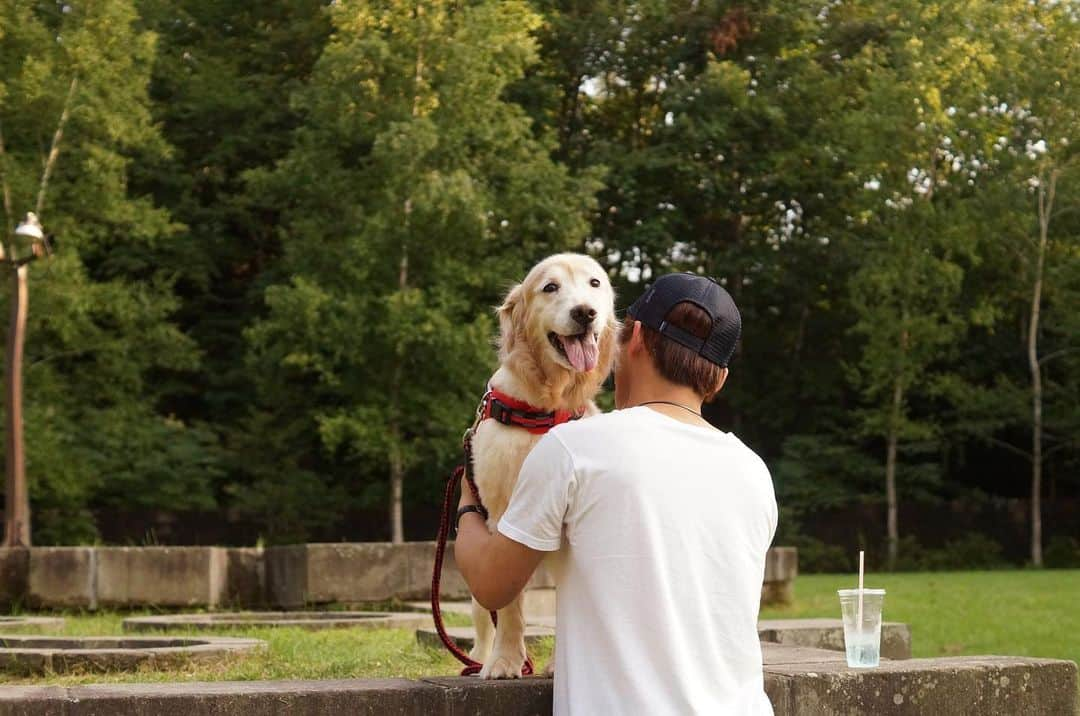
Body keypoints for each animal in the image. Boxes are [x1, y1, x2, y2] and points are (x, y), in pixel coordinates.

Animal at [470, 251, 617, 678]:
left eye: (594, 284)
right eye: (550, 287)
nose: (584, 312)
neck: (548, 410)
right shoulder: (502, 516)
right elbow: (509, 606)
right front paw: (504, 661)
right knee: (483, 612)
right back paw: (480, 656)